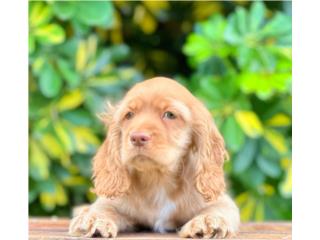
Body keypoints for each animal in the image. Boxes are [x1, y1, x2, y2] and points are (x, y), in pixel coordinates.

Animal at [70, 77, 240, 238]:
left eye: (170, 115)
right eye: (129, 115)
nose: (137, 138)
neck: (158, 179)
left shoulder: (223, 203)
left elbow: (217, 210)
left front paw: (207, 221)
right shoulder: (112, 202)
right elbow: (102, 208)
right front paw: (94, 219)